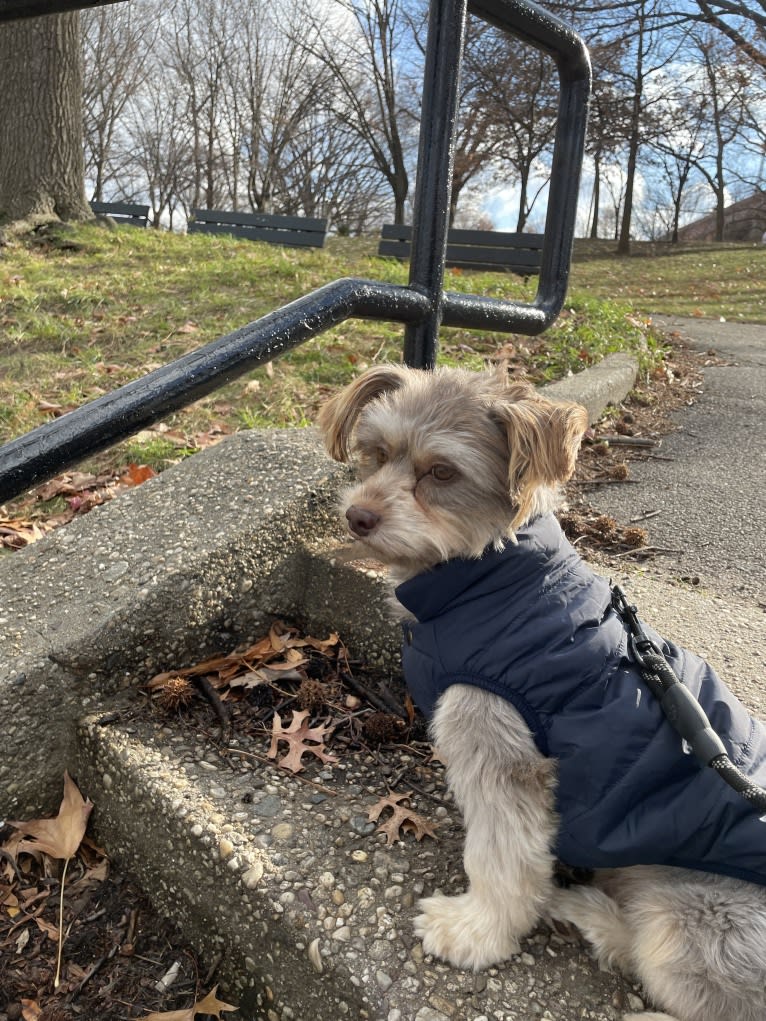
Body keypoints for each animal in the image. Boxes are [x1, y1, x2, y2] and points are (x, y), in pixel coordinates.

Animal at [318, 363, 766, 1021]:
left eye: (442, 473)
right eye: (374, 454)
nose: (359, 517)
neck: (494, 579)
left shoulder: (504, 754)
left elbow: (501, 858)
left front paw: (474, 931)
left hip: (693, 912)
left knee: (677, 978)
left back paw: (591, 916)